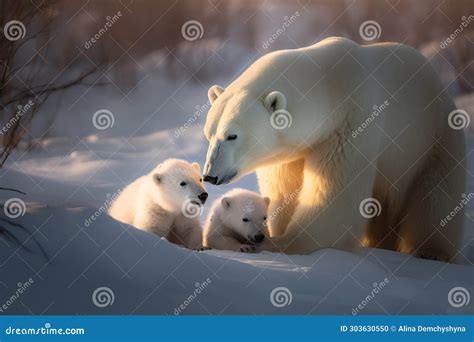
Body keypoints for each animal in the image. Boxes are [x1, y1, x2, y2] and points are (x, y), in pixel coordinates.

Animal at [202, 37, 464, 262]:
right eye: (209, 133)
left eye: (232, 135)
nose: (209, 176)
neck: (330, 86)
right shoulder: (291, 150)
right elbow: (284, 189)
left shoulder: (351, 124)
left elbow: (333, 199)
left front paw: (283, 243)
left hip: (435, 139)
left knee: (436, 196)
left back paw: (431, 251)